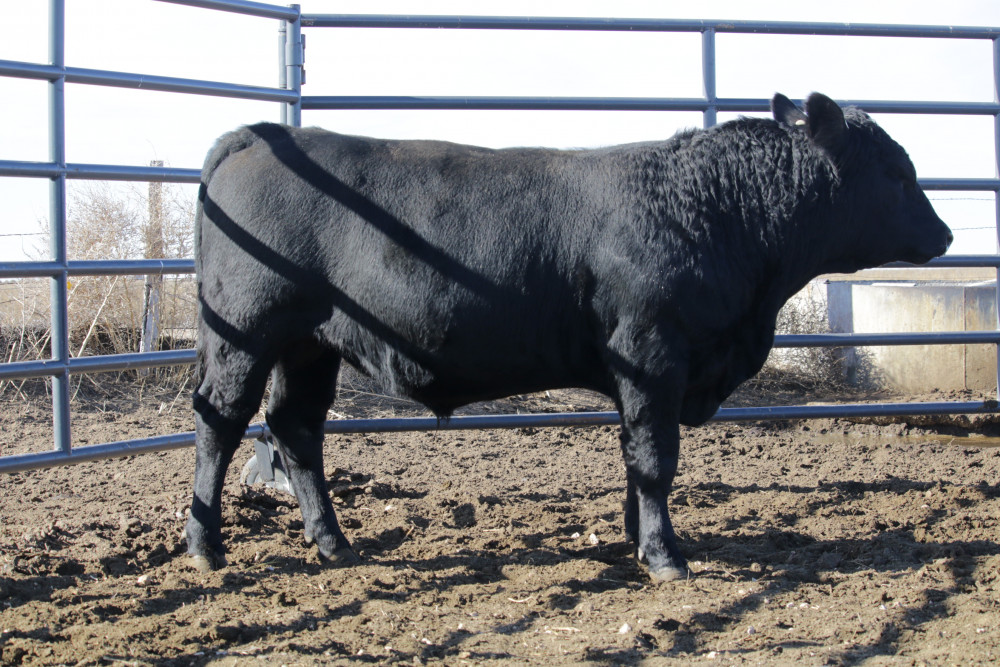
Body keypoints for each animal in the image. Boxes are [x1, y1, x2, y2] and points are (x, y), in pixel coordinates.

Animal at [186, 92, 952, 582]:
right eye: (896, 170)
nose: (944, 234)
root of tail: (255, 134)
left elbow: (636, 460)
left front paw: (639, 540)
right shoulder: (651, 355)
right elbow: (655, 458)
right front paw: (666, 558)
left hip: (309, 346)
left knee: (296, 427)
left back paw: (333, 543)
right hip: (246, 330)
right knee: (221, 422)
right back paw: (205, 546)